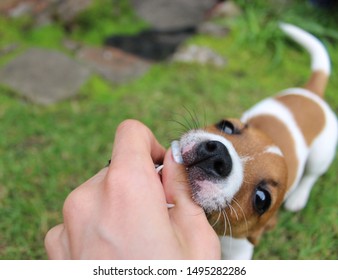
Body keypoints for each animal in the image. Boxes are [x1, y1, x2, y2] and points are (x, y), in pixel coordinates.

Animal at [172, 23, 338, 260]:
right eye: (227, 126)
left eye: (262, 199)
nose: (218, 155)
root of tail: (312, 93)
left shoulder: (239, 252)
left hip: (320, 155)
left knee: (311, 175)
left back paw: (298, 198)